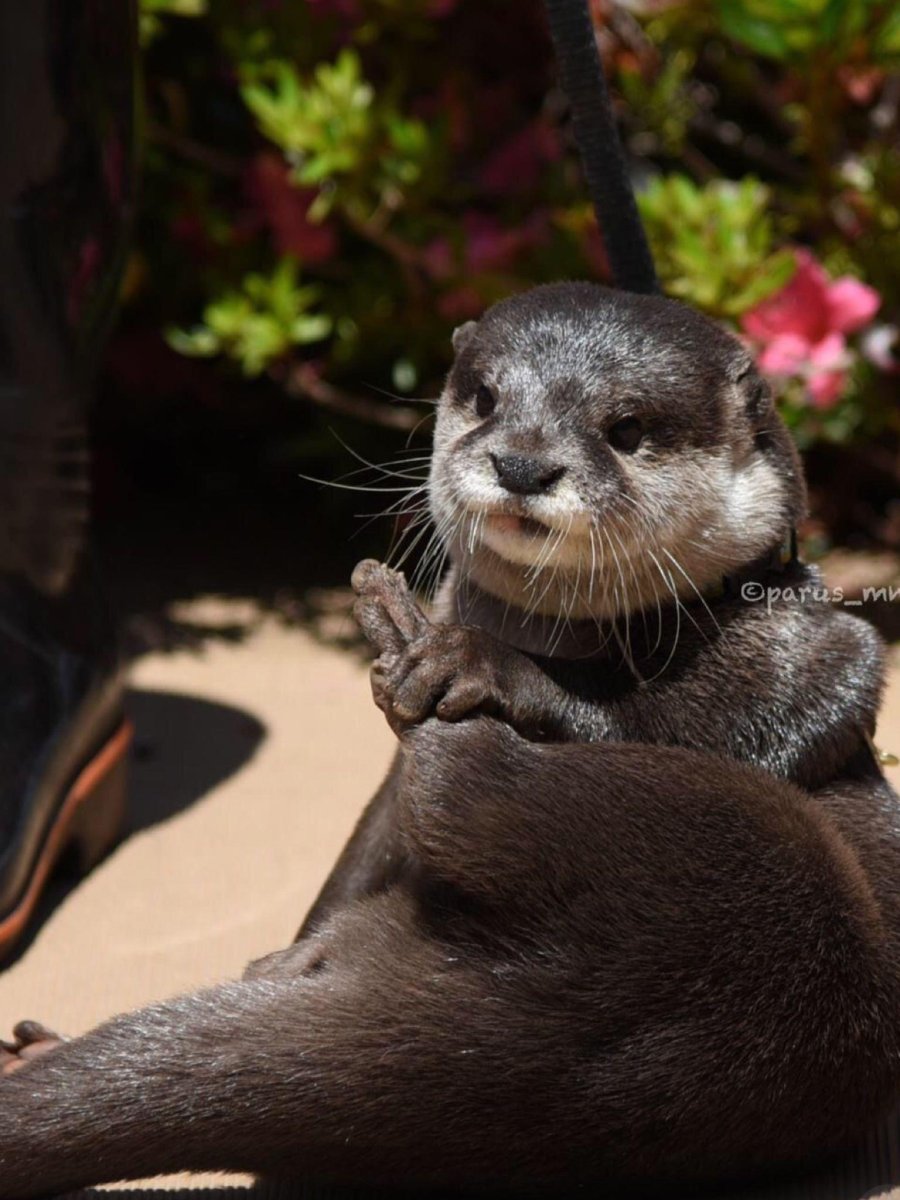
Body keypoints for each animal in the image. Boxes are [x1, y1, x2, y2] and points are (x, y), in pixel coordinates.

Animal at [1, 282, 898, 1198]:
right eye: (487, 398)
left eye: (626, 427)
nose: (524, 465)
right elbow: (355, 861)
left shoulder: (804, 657)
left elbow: (720, 709)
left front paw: (484, 666)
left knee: (456, 777)